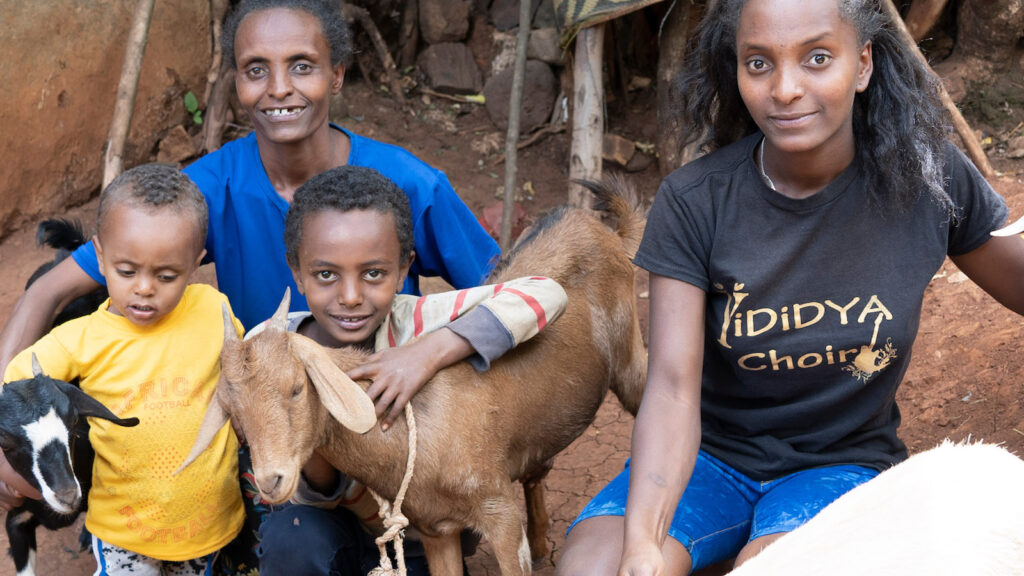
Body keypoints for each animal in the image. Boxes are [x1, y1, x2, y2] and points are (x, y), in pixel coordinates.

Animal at [181, 179, 647, 573]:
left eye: (296, 389)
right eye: (234, 415)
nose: (271, 480)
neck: (416, 433)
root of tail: (599, 227)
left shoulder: (498, 512)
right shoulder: (436, 527)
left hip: (631, 362)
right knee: (539, 464)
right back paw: (540, 541)